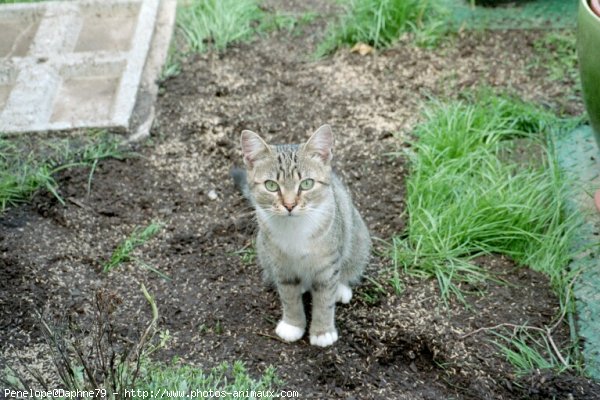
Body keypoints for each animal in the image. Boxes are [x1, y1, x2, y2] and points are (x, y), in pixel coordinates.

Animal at [234, 125, 370, 346]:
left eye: (306, 184)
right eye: (271, 185)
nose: (290, 205)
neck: (294, 228)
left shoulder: (327, 265)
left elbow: (325, 299)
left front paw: (323, 331)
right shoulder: (281, 265)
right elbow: (289, 296)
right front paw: (293, 325)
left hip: (357, 238)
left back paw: (341, 288)